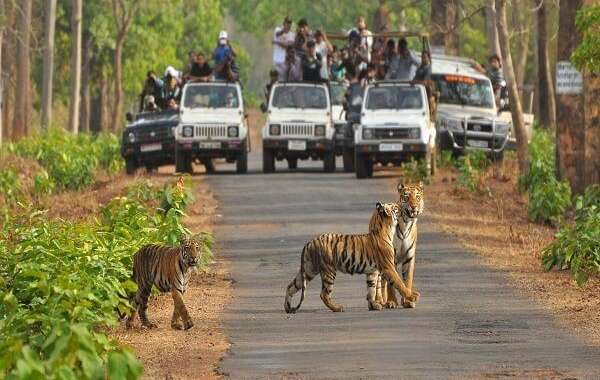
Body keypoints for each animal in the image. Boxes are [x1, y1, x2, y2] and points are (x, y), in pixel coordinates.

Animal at [284, 200, 418, 314]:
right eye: (395, 207)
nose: (401, 206)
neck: (386, 228)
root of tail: (310, 242)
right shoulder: (388, 267)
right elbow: (399, 283)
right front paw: (412, 296)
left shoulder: (372, 272)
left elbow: (371, 289)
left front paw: (373, 305)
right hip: (329, 270)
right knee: (324, 294)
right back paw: (337, 308)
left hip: (308, 270)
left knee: (291, 286)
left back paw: (288, 308)